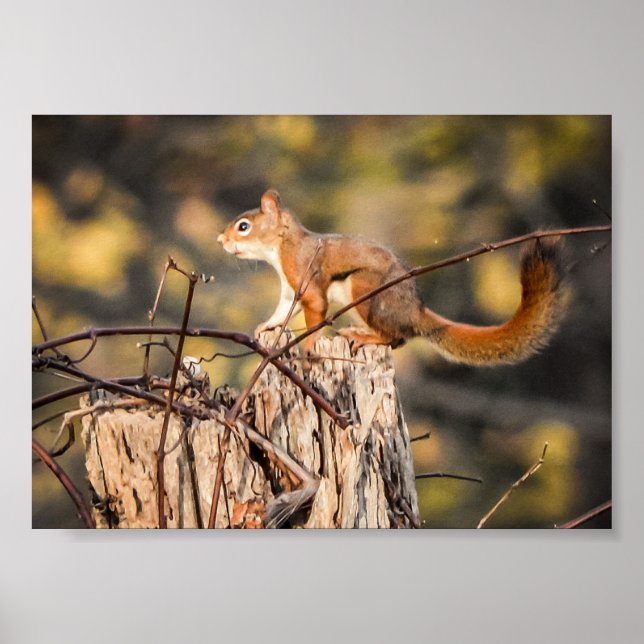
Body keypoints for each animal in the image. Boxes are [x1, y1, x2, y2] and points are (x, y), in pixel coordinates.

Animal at [217, 190, 567, 365]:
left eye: (244, 226)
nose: (220, 240)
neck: (282, 246)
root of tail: (415, 311)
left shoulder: (305, 274)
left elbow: (315, 312)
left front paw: (309, 345)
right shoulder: (289, 290)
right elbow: (281, 312)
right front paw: (267, 327)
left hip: (365, 291)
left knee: (395, 337)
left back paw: (364, 336)